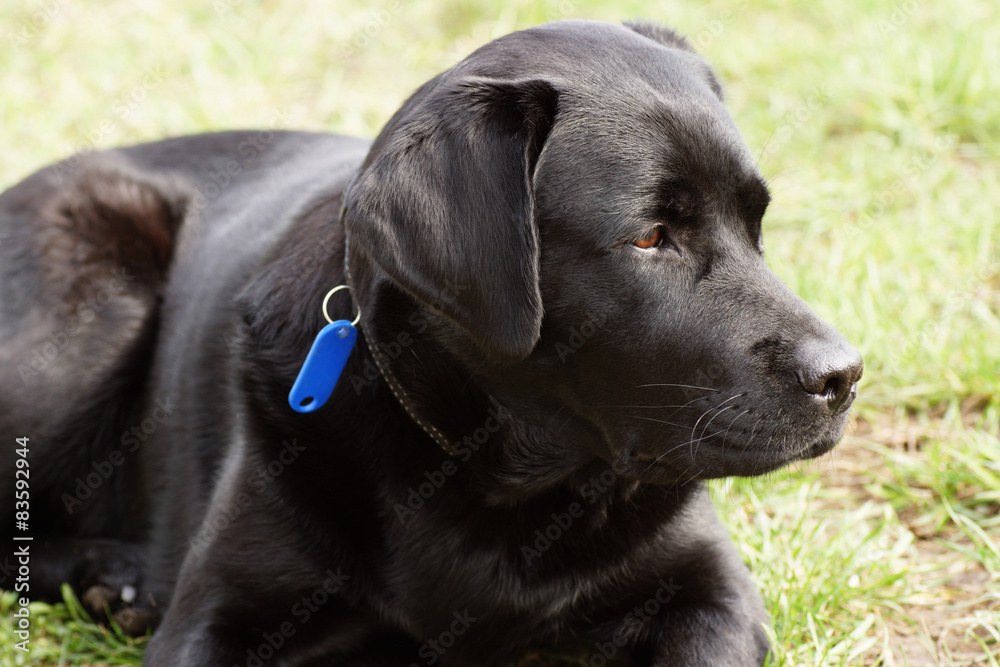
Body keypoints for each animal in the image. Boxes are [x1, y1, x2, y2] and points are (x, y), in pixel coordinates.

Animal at [0, 20, 860, 667]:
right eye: (651, 237)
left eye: (756, 222)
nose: (845, 375)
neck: (502, 474)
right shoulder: (214, 619)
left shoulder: (712, 592)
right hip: (83, 324)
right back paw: (114, 574)